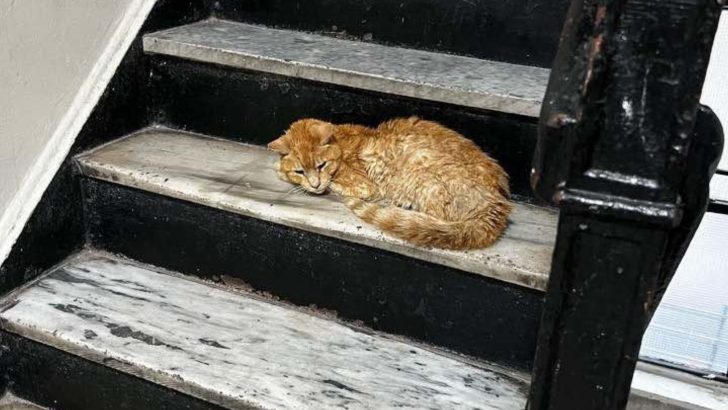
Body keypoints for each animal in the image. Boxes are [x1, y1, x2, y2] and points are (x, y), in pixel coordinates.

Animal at [268, 116, 512, 250]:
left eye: (321, 165)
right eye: (300, 171)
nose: (315, 184)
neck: (341, 146)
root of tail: (497, 204)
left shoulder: (365, 185)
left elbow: (338, 186)